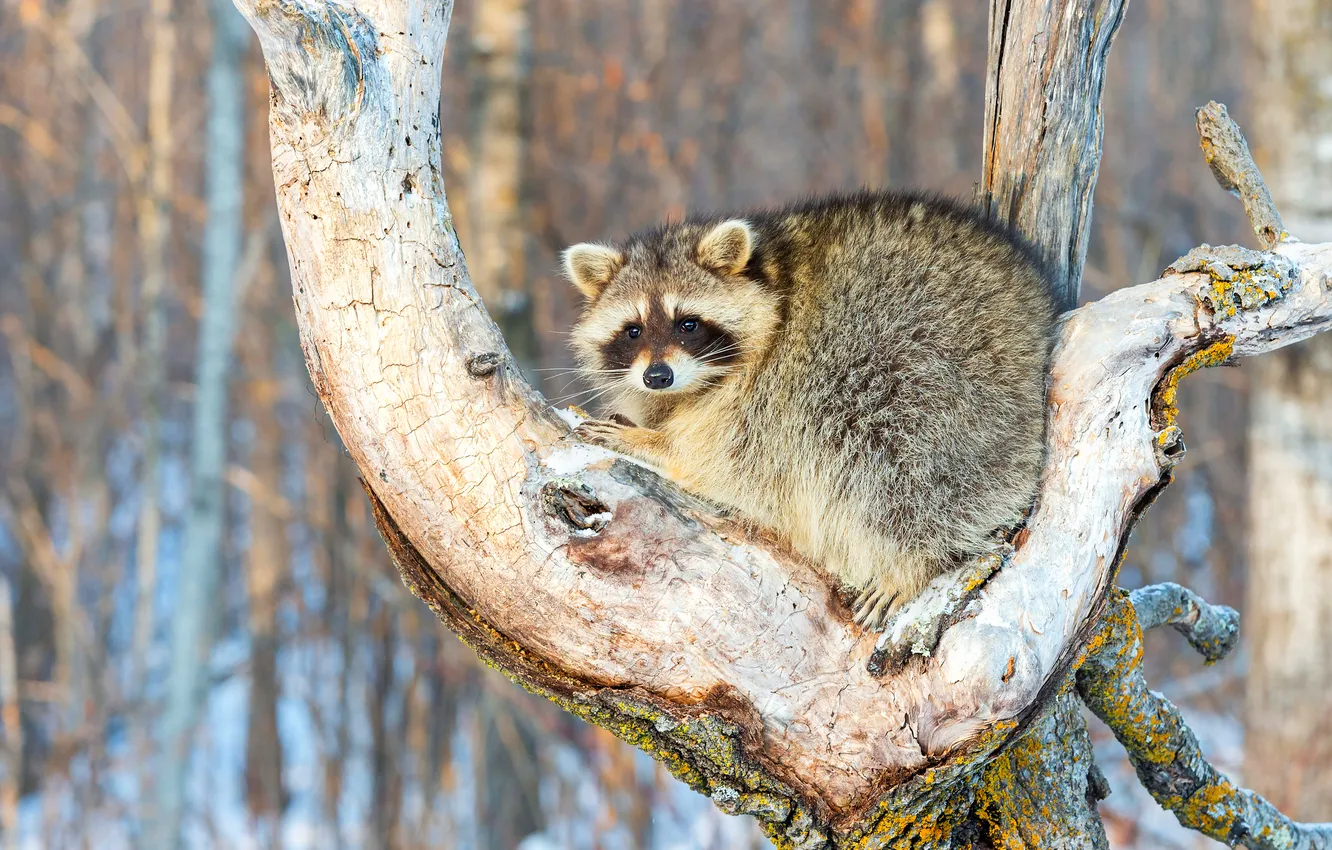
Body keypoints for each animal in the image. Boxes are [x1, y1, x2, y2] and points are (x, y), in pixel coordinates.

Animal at [562, 190, 1056, 627]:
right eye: (633, 331)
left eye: (688, 324)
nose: (657, 376)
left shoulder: (768, 399)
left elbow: (726, 465)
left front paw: (652, 443)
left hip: (936, 386)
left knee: (893, 470)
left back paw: (910, 561)